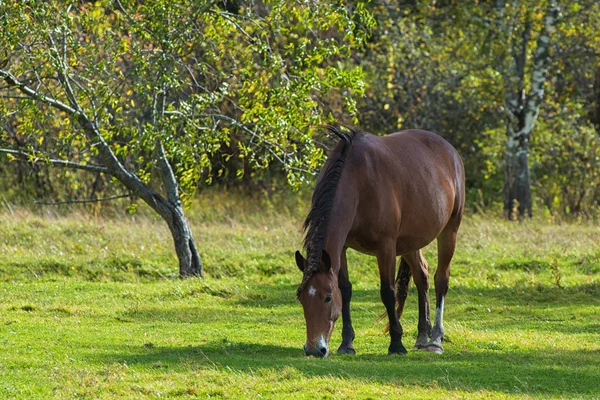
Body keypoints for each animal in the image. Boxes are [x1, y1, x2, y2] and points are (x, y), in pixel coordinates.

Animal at [296, 124, 464, 356]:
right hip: (411, 241)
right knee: (422, 276)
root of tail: (450, 151)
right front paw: (346, 343)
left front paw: (396, 343)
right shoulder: (341, 248)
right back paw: (422, 336)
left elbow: (388, 292)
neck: (358, 181)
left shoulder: (386, 247)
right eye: (301, 298)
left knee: (441, 279)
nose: (314, 349)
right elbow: (346, 289)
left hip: (449, 230)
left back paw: (436, 340)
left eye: (328, 297)